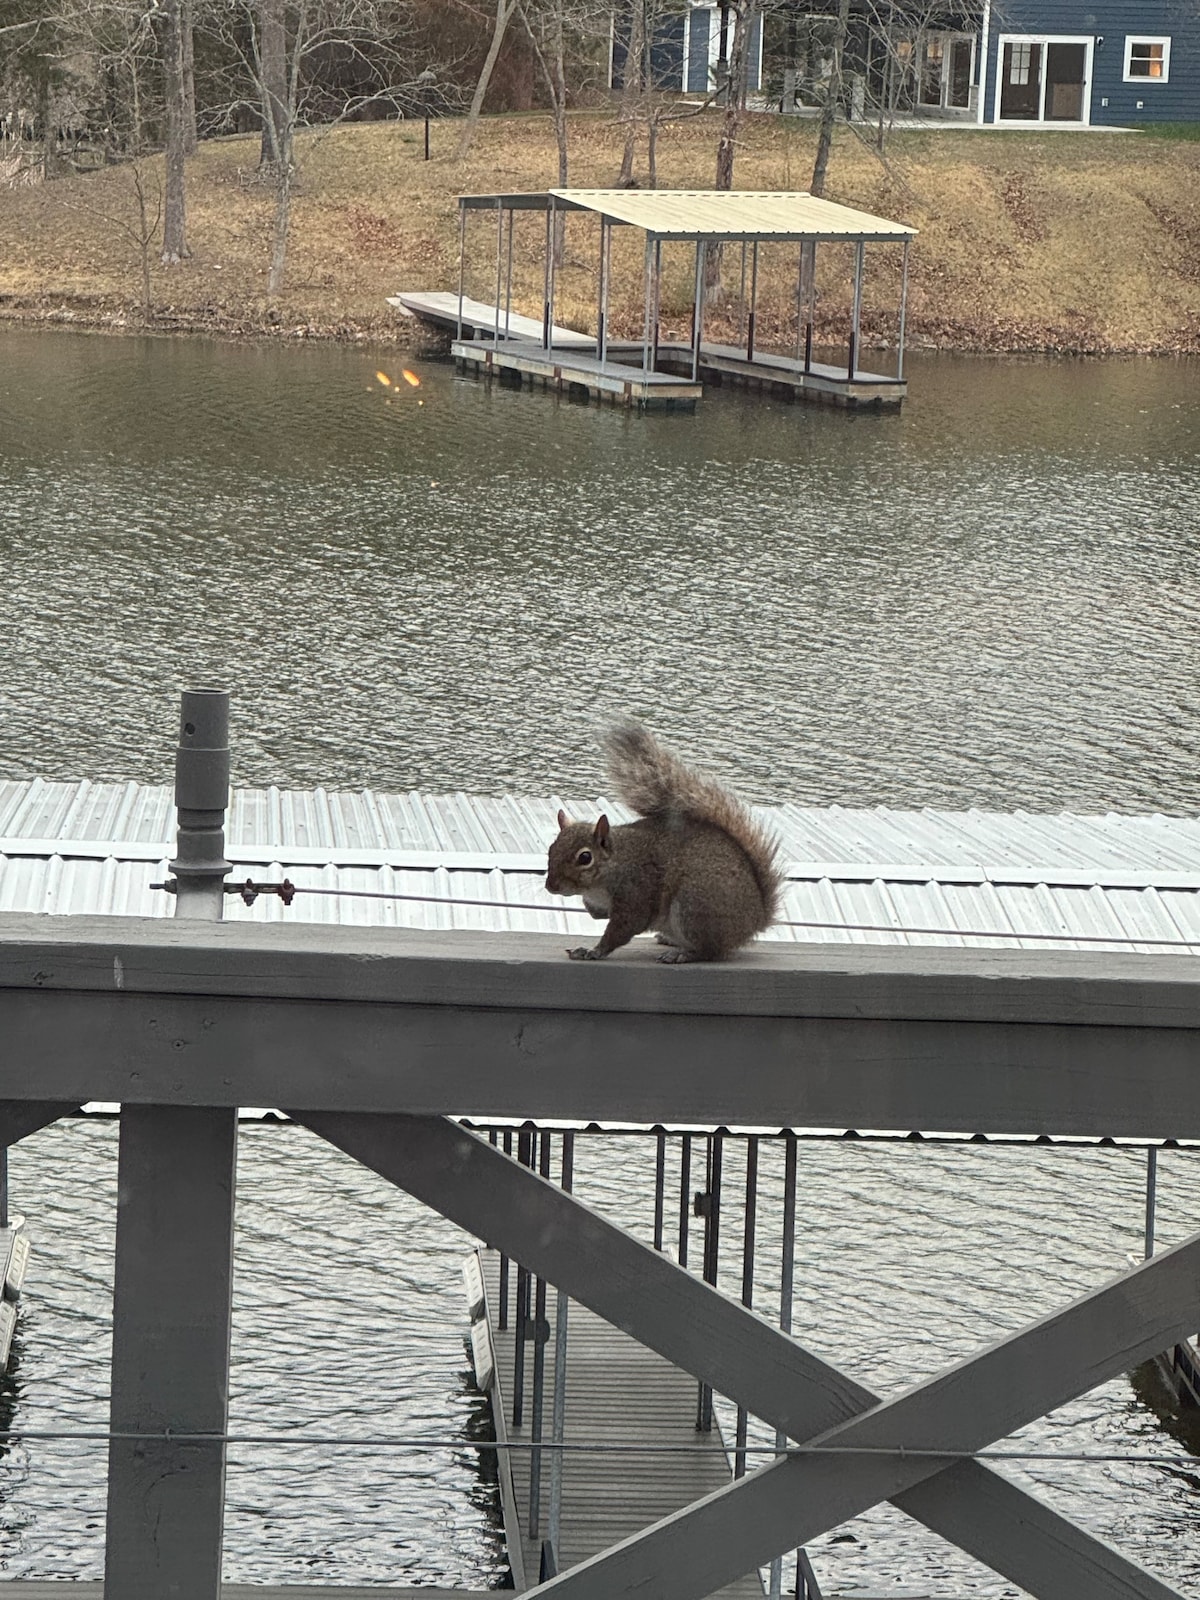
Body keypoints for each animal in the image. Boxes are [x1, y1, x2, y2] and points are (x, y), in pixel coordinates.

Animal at [547, 723, 790, 960]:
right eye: (551, 849)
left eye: (585, 857)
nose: (551, 886)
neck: (614, 865)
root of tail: (757, 918)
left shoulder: (636, 892)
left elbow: (623, 929)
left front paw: (593, 951)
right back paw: (670, 941)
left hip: (694, 906)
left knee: (711, 951)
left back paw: (682, 954)